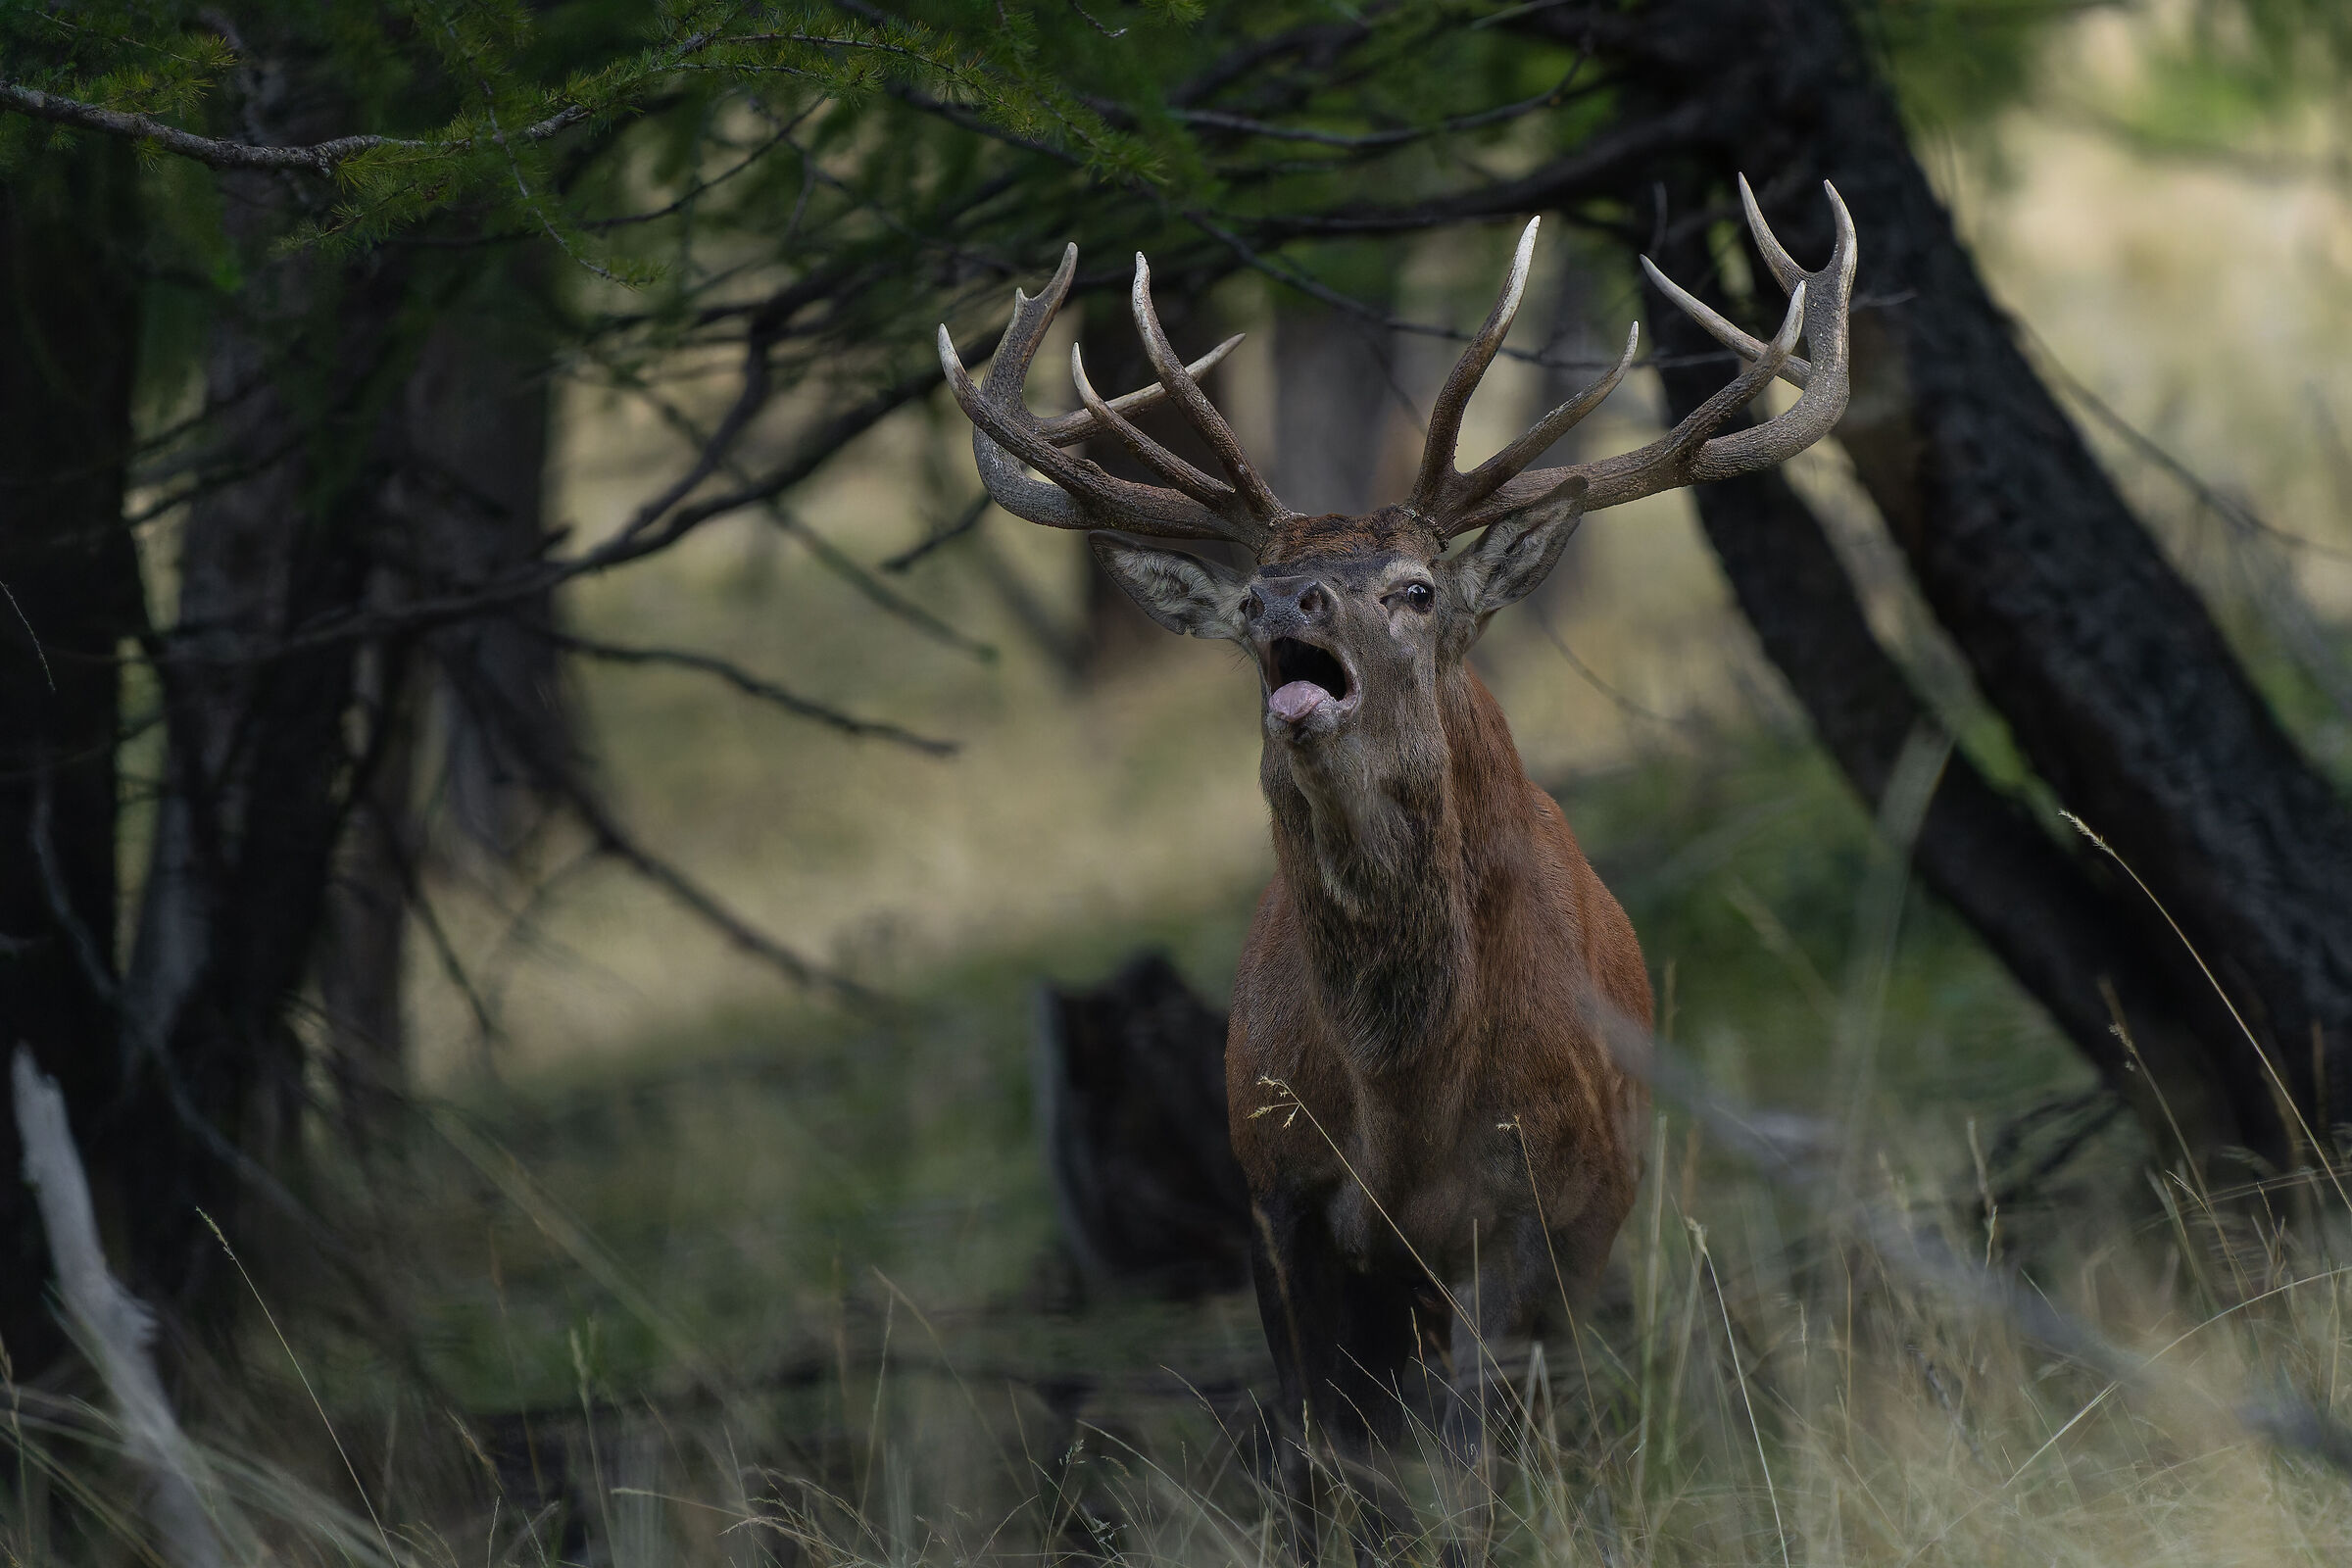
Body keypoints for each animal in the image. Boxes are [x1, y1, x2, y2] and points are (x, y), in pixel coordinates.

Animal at [939, 177, 1856, 1557]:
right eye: (1252, 592)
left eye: (1417, 587)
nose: (1291, 605)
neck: (1402, 1102)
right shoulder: (1278, 1194)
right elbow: (1315, 1460)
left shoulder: (1528, 1209)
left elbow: (1478, 1460)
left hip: (1599, 1219)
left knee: (1552, 1415)